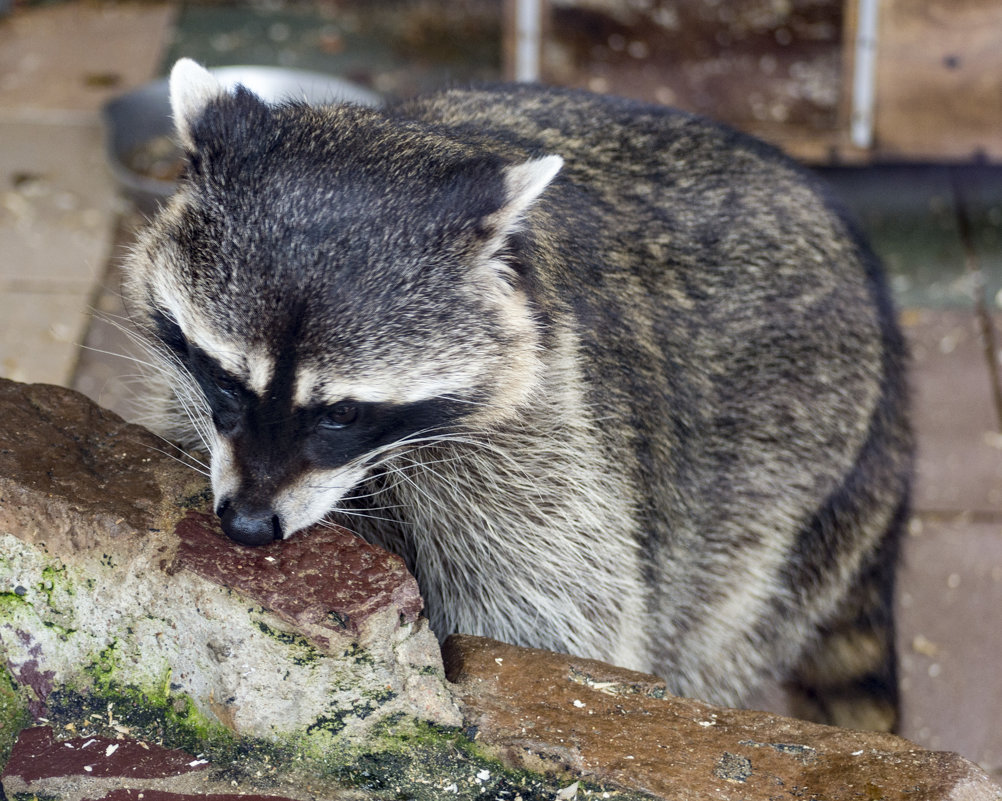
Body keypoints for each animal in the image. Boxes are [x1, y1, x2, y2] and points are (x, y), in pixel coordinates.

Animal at [123, 57, 909, 733]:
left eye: (342, 413)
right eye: (227, 380)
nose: (249, 525)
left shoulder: (547, 444)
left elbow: (546, 617)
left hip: (787, 462)